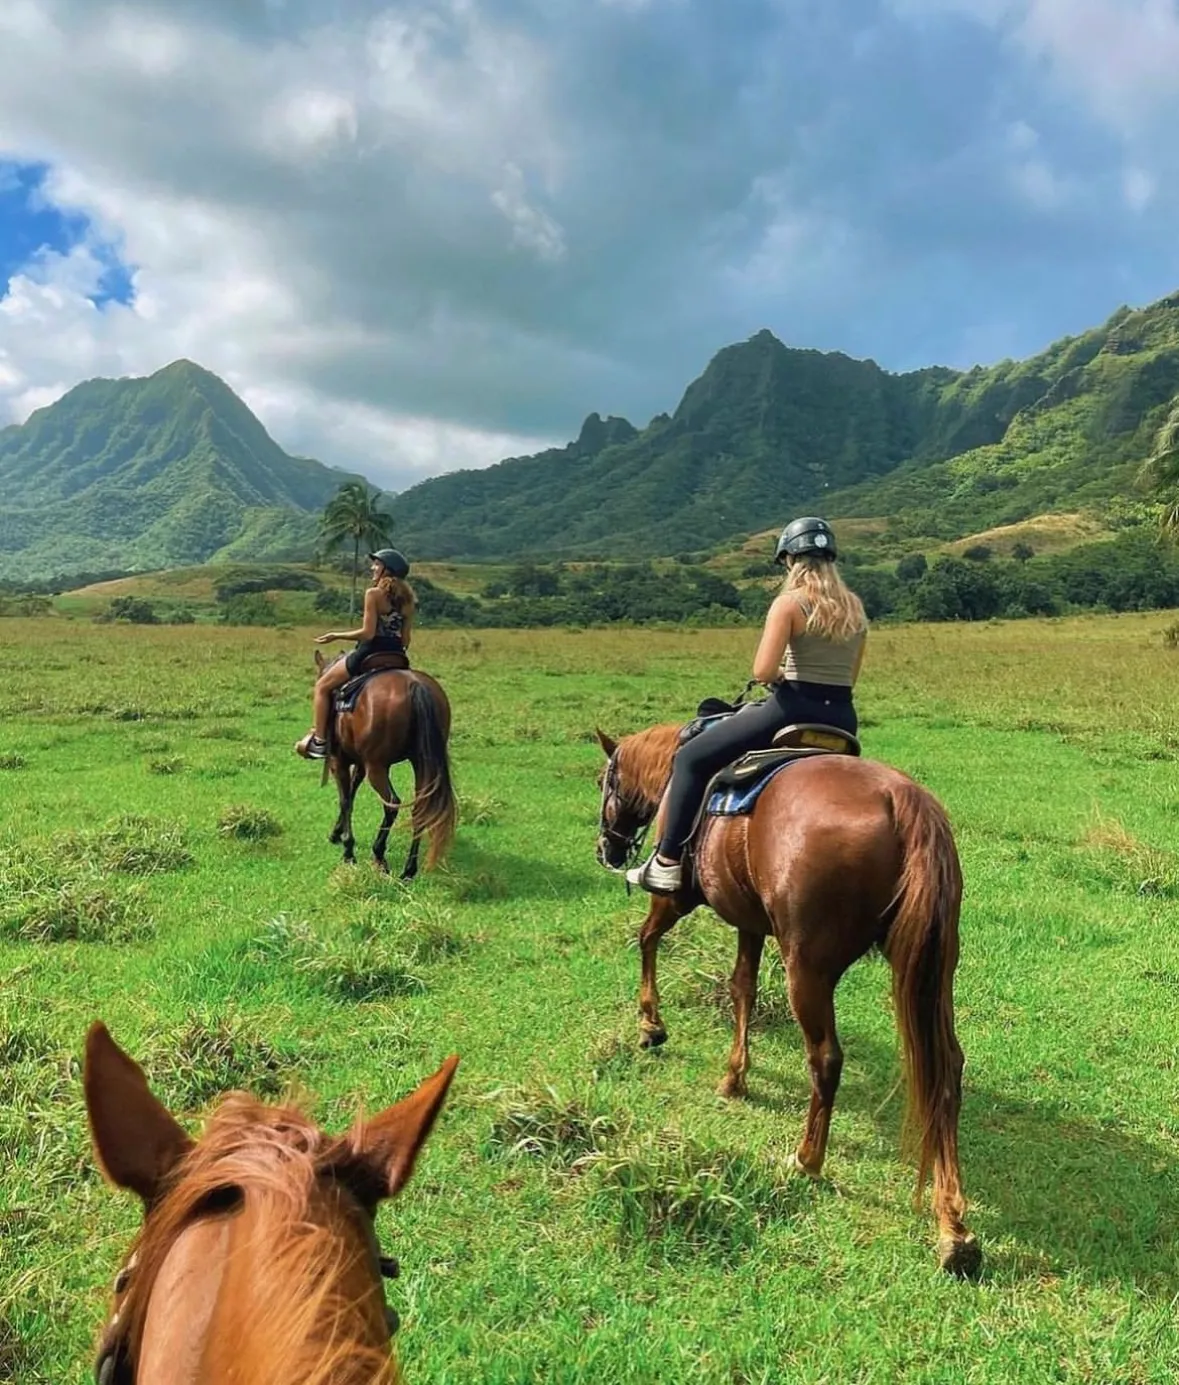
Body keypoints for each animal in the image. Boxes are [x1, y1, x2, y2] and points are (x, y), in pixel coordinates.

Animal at [313, 650, 457, 875]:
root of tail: (415, 685)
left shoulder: (340, 761)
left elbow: (345, 800)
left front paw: (348, 850)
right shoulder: (360, 764)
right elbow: (351, 794)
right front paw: (337, 833)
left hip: (377, 767)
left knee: (392, 804)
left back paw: (379, 854)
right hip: (421, 764)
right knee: (420, 808)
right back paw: (409, 870)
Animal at [595, 725, 980, 1274]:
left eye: (604, 782)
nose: (606, 849)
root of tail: (902, 801)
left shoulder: (675, 898)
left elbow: (647, 939)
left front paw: (651, 1025)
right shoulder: (750, 921)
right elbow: (743, 988)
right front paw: (735, 1076)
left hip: (808, 968)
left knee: (825, 1059)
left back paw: (808, 1158)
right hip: (933, 971)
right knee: (945, 1067)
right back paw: (954, 1229)